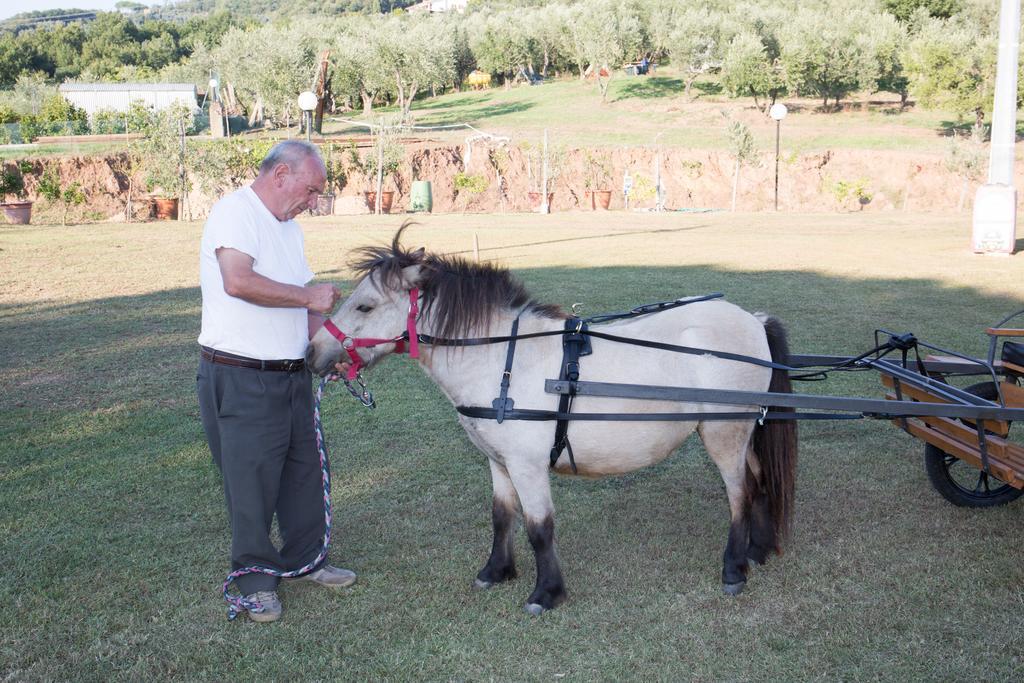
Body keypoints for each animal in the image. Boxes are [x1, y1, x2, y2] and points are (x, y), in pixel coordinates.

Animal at [305, 228, 798, 614]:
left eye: (365, 307)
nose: (311, 354)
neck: (502, 359)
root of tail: (753, 321)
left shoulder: (528, 466)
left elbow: (539, 528)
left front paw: (546, 592)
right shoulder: (499, 462)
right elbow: (501, 516)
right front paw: (496, 571)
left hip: (724, 434)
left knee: (740, 493)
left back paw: (734, 568)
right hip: (743, 433)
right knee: (759, 483)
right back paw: (757, 551)